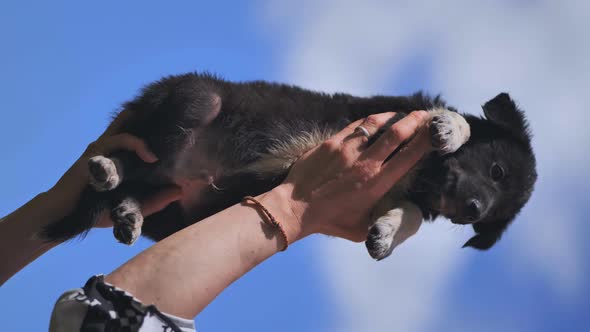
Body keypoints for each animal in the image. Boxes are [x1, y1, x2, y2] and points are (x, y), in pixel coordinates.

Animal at [41, 72, 540, 260]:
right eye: (497, 171)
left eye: (493, 217)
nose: (474, 210)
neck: (424, 177)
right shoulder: (391, 114)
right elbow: (457, 121)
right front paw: (452, 128)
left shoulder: (396, 197)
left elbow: (413, 215)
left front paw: (387, 234)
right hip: (194, 101)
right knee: (135, 157)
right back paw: (106, 166)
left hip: (178, 208)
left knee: (134, 191)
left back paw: (128, 213)